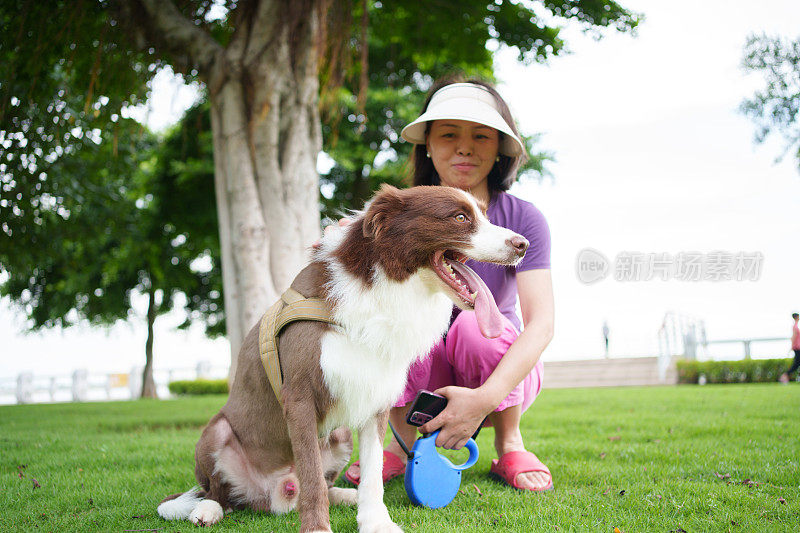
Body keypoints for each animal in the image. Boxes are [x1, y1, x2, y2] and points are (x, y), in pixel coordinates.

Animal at [159, 185, 528, 528]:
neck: (382, 281)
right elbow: (310, 476)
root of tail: (272, 495)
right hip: (216, 432)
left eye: (485, 214)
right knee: (218, 492)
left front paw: (376, 522)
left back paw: (344, 495)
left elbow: (372, 472)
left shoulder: (376, 396)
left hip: (339, 436)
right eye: (460, 217)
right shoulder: (299, 397)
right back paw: (206, 510)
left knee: (321, 483)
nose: (523, 244)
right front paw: (317, 529)